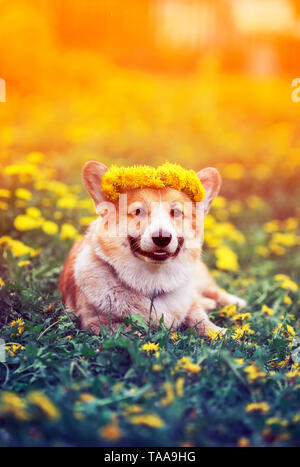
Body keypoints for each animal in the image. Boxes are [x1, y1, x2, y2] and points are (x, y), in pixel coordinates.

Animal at [58, 161, 246, 336]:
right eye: (138, 211)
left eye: (176, 212)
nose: (162, 238)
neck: (153, 282)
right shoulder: (95, 322)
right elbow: (131, 330)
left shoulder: (190, 303)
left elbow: (199, 318)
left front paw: (221, 333)